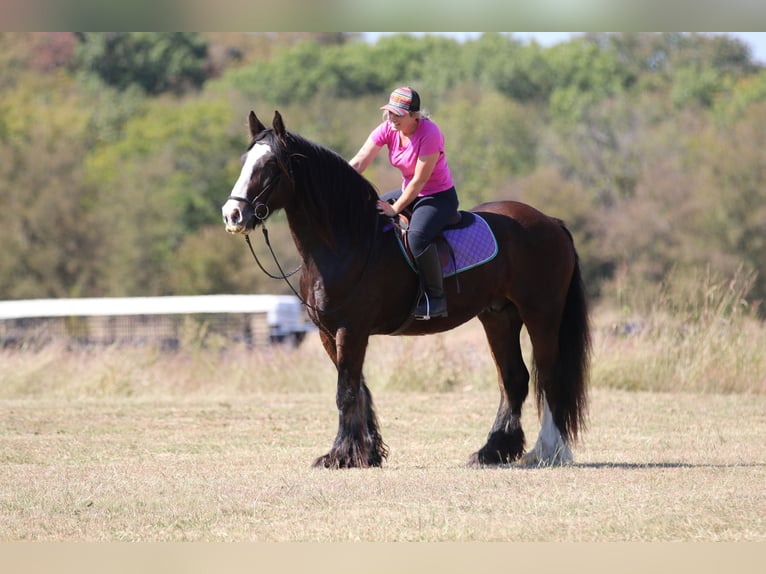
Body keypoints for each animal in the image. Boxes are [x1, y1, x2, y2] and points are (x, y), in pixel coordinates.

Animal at [222, 110, 592, 470]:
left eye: (271, 164)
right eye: (244, 160)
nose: (232, 214)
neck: (347, 241)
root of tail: (549, 221)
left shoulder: (351, 330)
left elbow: (346, 392)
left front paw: (340, 455)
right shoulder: (330, 333)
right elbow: (359, 389)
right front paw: (365, 453)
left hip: (542, 315)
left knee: (549, 376)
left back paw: (549, 450)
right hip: (499, 317)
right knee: (514, 378)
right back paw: (493, 450)